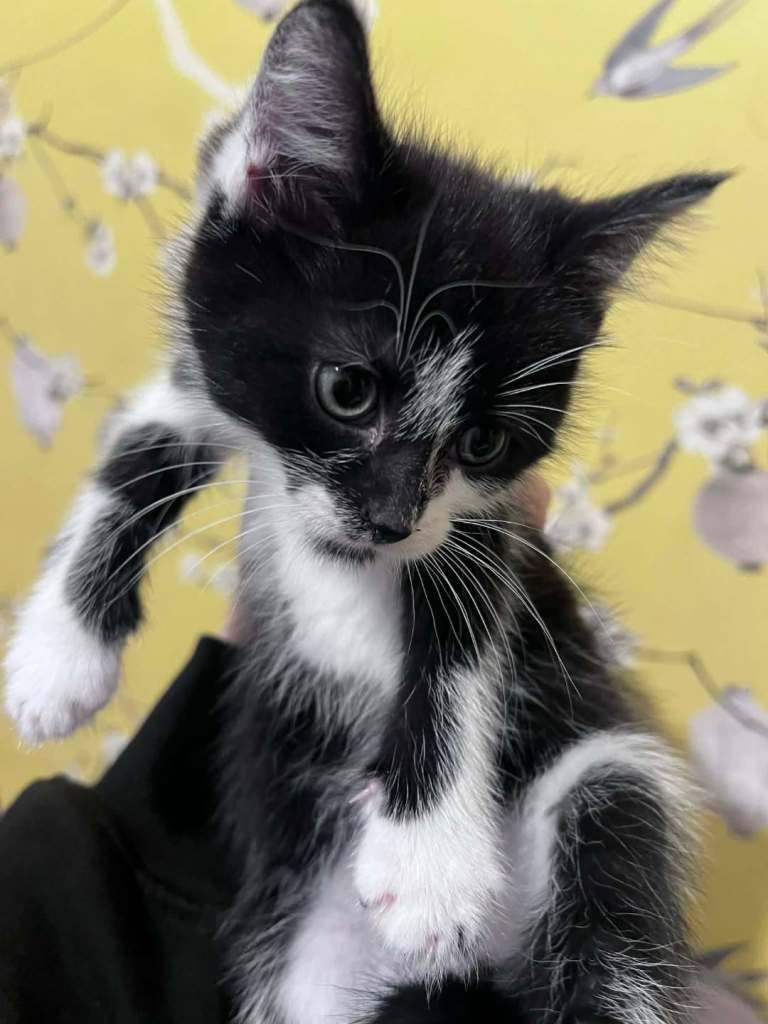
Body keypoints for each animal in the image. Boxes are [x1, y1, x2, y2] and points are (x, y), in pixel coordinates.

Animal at [4, 1, 727, 1022]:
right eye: (347, 390)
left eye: (483, 442)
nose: (389, 521)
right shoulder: (200, 370)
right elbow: (138, 456)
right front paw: (59, 655)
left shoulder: (487, 522)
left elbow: (464, 626)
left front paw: (431, 866)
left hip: (610, 773)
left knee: (609, 884)